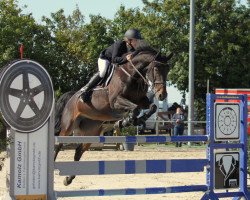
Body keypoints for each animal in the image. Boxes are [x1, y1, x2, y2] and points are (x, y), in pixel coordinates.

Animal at [54, 45, 172, 186]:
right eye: (156, 68)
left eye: (168, 70)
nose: (162, 95)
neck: (132, 75)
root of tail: (71, 96)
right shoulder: (115, 101)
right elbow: (135, 109)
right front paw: (127, 121)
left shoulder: (141, 100)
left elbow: (151, 107)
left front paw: (134, 120)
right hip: (68, 127)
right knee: (58, 146)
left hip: (91, 132)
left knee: (78, 151)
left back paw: (68, 178)